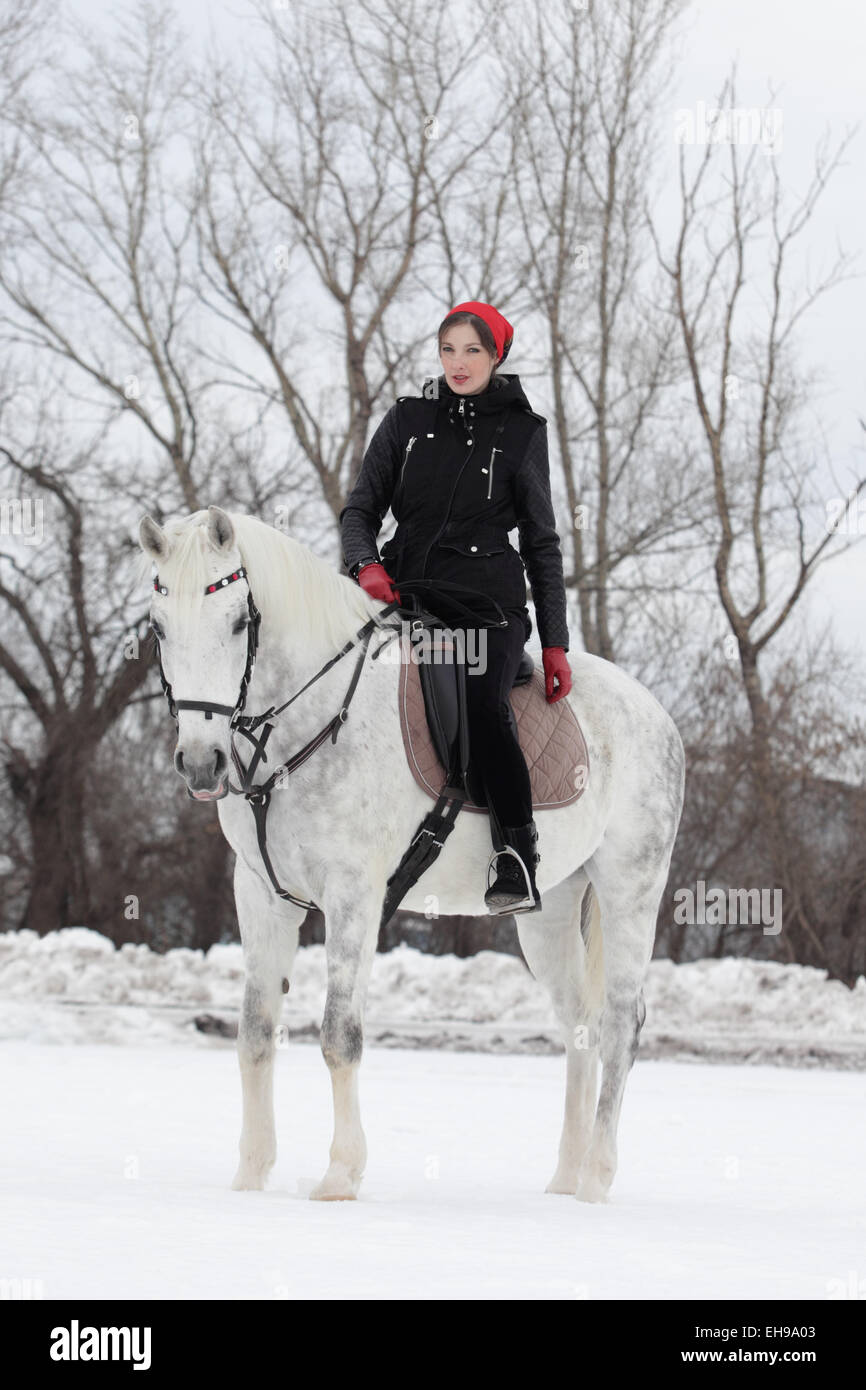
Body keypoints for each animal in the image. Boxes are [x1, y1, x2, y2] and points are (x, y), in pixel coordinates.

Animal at [139, 505, 686, 1200]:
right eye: (159, 626)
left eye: (239, 621)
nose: (200, 762)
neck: (309, 722)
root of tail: (654, 711)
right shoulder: (262, 896)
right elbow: (255, 1032)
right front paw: (251, 1174)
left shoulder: (354, 895)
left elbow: (339, 1034)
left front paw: (340, 1174)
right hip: (551, 912)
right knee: (580, 1025)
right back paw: (565, 1177)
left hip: (630, 892)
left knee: (619, 1024)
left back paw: (595, 1178)